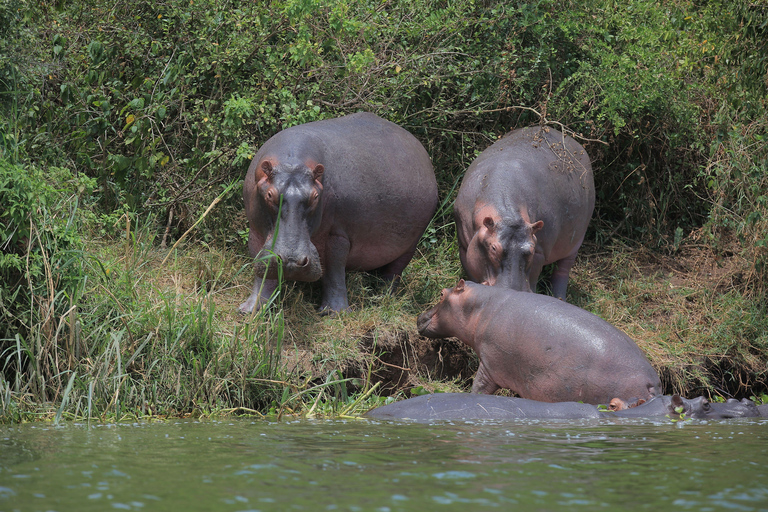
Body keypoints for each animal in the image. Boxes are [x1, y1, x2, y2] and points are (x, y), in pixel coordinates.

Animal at [238, 112, 438, 314]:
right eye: (270, 194)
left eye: (316, 196)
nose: (291, 262)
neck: (292, 163)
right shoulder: (256, 232)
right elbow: (261, 272)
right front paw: (251, 309)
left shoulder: (338, 235)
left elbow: (334, 272)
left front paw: (335, 313)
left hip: (410, 245)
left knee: (393, 273)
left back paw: (383, 300)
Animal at [416, 280, 664, 404]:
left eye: (441, 293)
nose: (419, 316)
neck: (479, 307)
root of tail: (653, 383)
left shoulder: (490, 363)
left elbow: (479, 388)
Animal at [452, 126, 596, 300]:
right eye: (493, 248)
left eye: (531, 250)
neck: (507, 215)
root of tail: (575, 143)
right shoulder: (465, 247)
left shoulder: (540, 250)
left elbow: (533, 277)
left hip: (576, 241)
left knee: (563, 270)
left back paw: (559, 297)